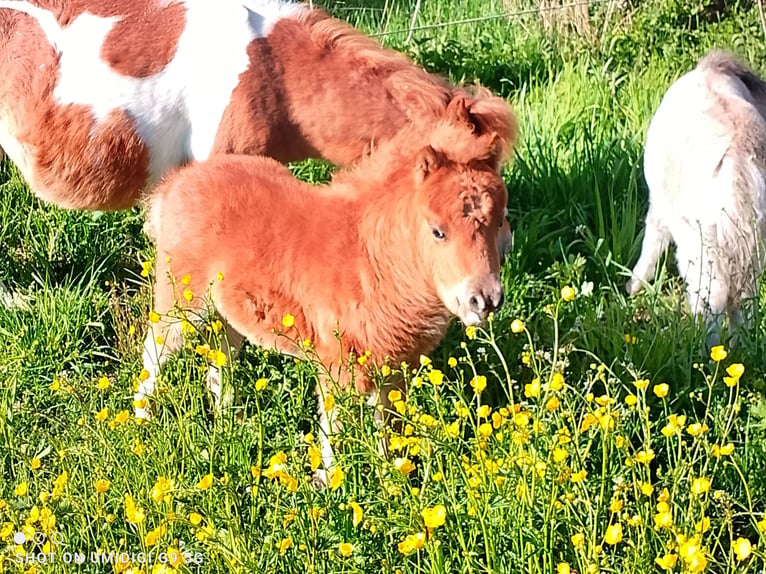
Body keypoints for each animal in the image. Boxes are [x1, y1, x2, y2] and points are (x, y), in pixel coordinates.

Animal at [139, 94, 514, 481]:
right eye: (438, 231)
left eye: (501, 219)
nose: (484, 300)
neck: (370, 259)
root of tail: (176, 184)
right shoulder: (337, 365)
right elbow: (334, 426)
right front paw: (331, 483)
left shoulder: (394, 369)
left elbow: (388, 428)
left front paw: (392, 477)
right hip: (182, 303)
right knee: (154, 351)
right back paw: (143, 421)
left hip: (228, 315)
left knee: (220, 361)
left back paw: (234, 424)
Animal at [628, 51, 766, 344]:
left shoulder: (659, 205)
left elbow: (651, 241)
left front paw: (632, 286)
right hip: (750, 248)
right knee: (744, 303)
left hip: (701, 247)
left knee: (712, 299)